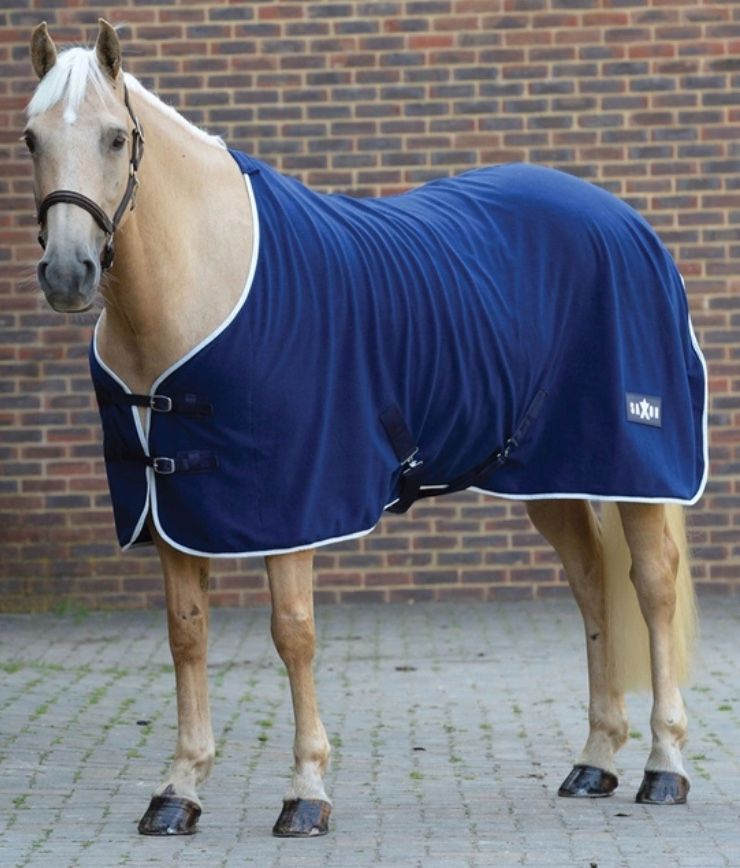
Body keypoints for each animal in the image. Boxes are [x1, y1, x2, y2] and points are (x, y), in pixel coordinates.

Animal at [25, 20, 707, 837]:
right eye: (30, 139)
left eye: (117, 137)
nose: (69, 273)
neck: (204, 284)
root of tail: (631, 224)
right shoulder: (171, 508)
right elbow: (186, 633)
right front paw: (179, 789)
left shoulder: (290, 504)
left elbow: (293, 633)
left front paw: (307, 791)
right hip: (556, 475)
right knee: (592, 586)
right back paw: (595, 762)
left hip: (637, 467)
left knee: (653, 587)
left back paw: (664, 768)